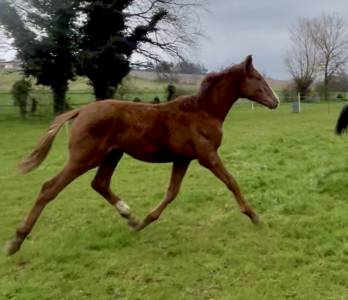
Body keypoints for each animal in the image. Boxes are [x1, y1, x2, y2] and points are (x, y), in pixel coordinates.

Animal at [7, 55, 280, 254]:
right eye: (257, 77)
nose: (276, 101)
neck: (203, 112)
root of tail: (81, 110)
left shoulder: (182, 159)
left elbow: (172, 192)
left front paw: (144, 222)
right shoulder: (207, 156)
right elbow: (231, 182)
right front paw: (255, 217)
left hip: (112, 155)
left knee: (100, 183)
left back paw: (130, 217)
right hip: (84, 158)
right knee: (49, 188)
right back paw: (16, 241)